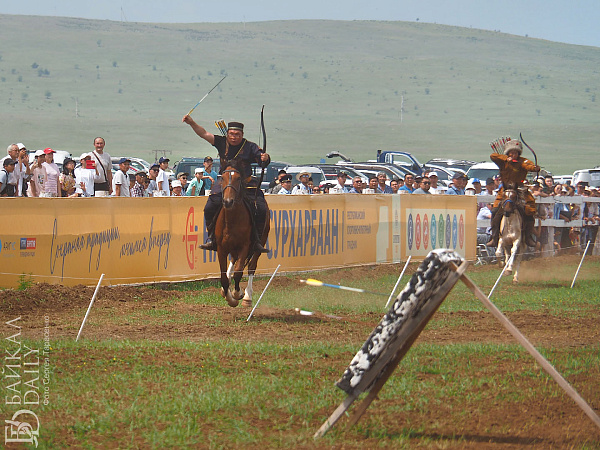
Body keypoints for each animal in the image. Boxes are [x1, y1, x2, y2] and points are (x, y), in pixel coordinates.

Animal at [215, 161, 270, 307]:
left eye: (238, 178)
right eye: (222, 178)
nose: (228, 201)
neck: (232, 220)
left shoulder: (245, 246)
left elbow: (239, 272)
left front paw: (237, 294)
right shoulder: (221, 249)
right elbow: (223, 277)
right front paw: (229, 296)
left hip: (260, 242)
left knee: (251, 267)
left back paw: (247, 297)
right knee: (233, 261)